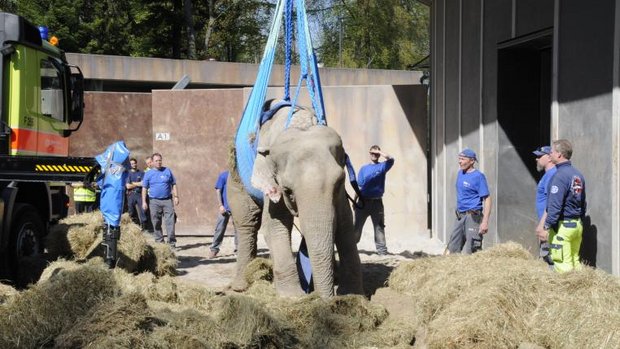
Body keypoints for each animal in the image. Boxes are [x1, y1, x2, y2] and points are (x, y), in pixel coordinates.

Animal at [226, 100, 364, 296]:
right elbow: (274, 223)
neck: (301, 124)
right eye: (287, 190)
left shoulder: (340, 194)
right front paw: (293, 297)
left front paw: (353, 294)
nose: (325, 299)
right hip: (236, 179)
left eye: (338, 183)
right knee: (247, 223)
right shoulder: (273, 181)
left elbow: (345, 223)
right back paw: (241, 286)